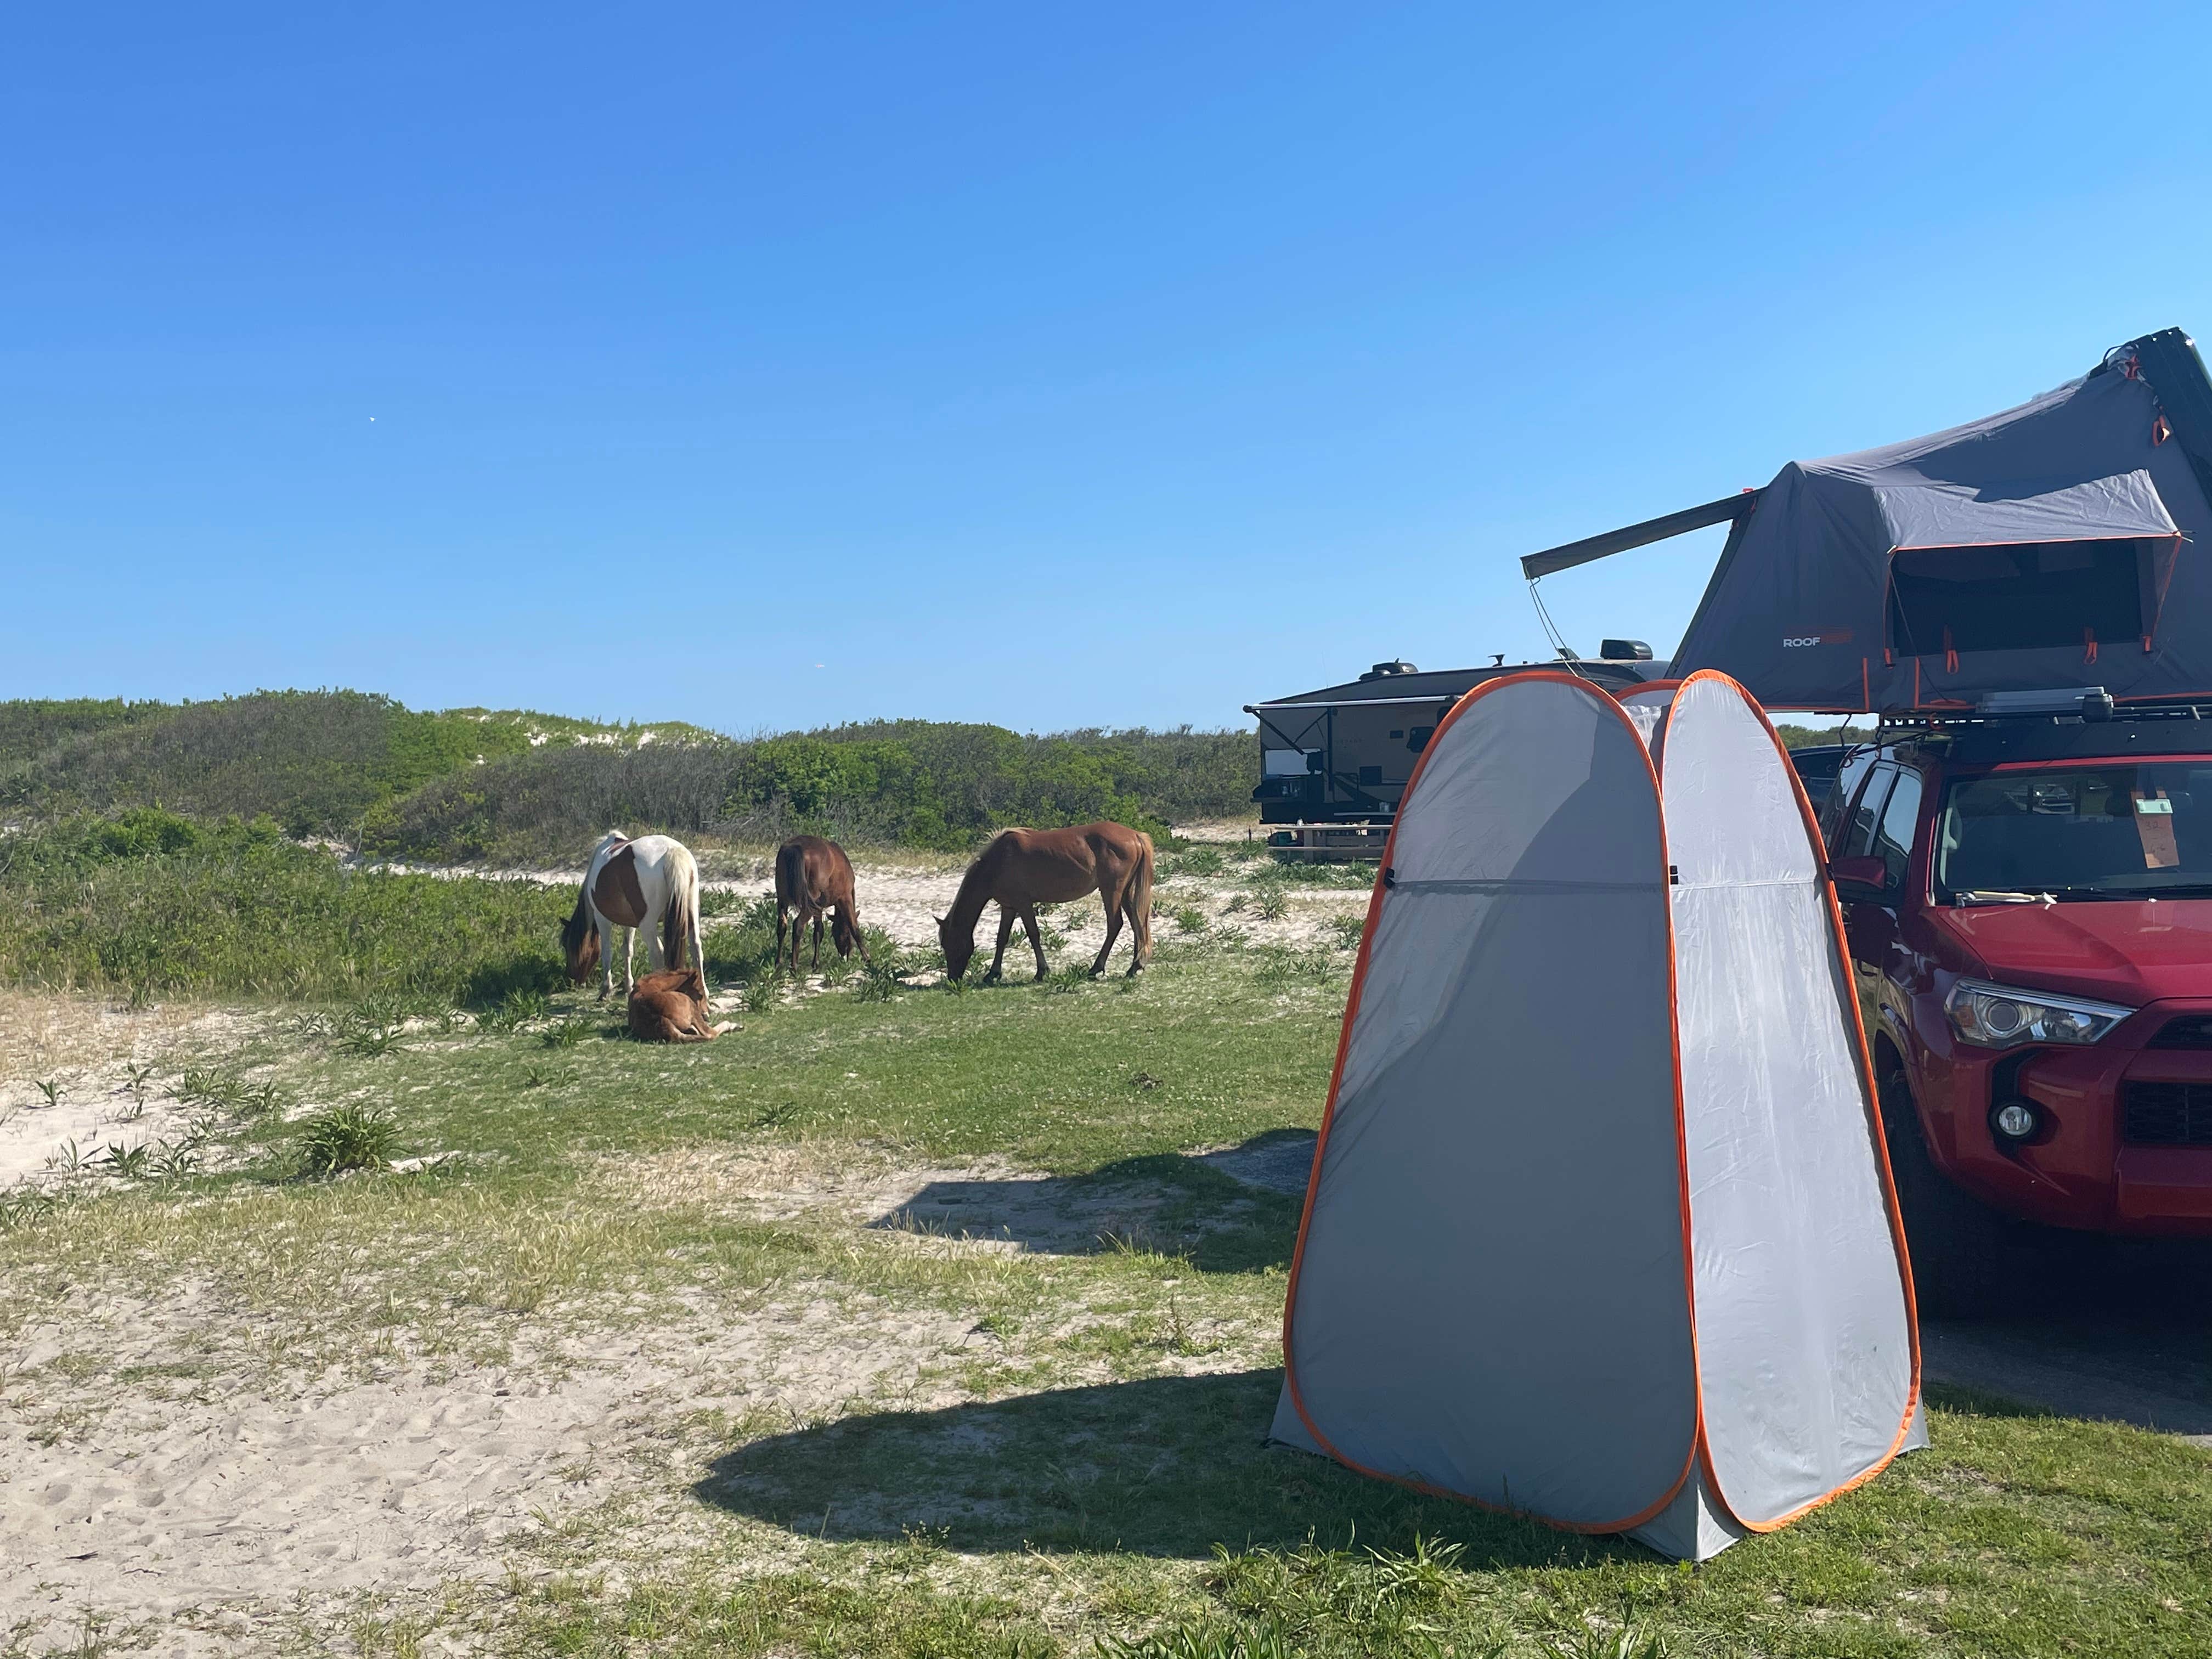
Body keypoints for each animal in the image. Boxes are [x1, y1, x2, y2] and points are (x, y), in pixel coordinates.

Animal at [562, 832, 708, 1000]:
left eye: (566, 945)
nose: (572, 980)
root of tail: (672, 852)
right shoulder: (630, 922)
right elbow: (628, 950)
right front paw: (628, 987)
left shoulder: (601, 918)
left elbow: (607, 953)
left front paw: (606, 990)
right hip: (691, 915)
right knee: (696, 947)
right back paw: (704, 993)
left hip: (648, 924)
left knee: (657, 953)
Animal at [774, 836, 867, 982]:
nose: (843, 954)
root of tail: (795, 847)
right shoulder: (845, 898)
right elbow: (854, 927)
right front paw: (867, 958)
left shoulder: (818, 907)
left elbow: (819, 932)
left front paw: (816, 964)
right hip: (807, 904)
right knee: (798, 925)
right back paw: (794, 967)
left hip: (783, 900)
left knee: (782, 926)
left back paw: (778, 964)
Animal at [933, 822, 1159, 982]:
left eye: (950, 943)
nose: (952, 978)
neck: (999, 860)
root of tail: (1135, 836)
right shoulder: (1009, 906)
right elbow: (1002, 937)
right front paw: (993, 974)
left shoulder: (1023, 905)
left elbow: (1034, 935)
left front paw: (1042, 972)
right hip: (1125, 893)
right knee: (1137, 922)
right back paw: (1135, 967)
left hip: (1111, 891)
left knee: (1115, 925)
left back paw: (1096, 969)